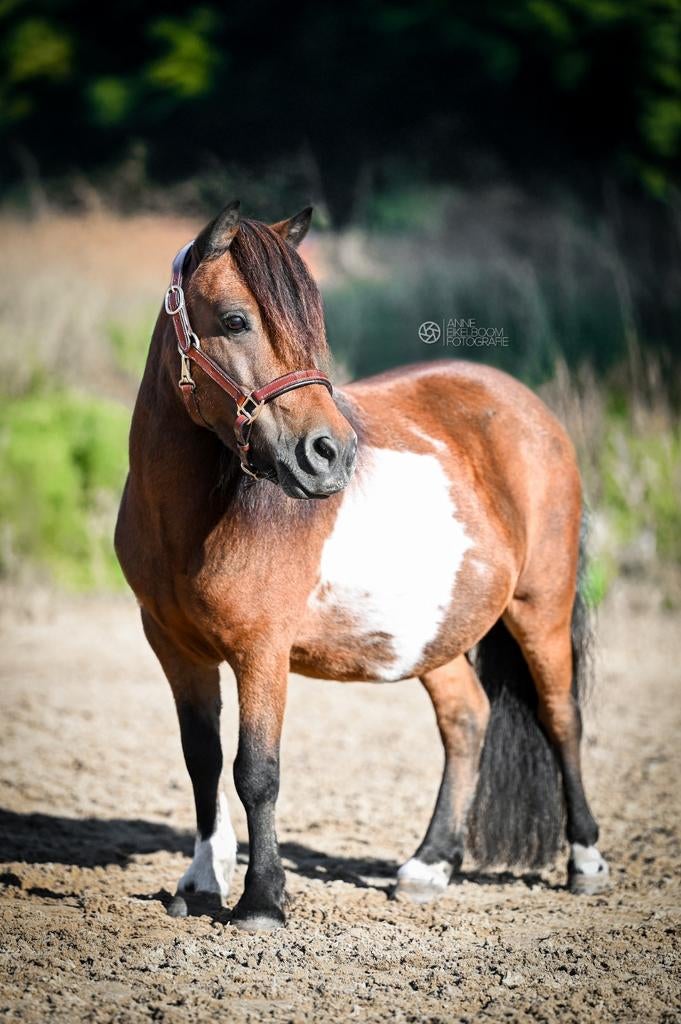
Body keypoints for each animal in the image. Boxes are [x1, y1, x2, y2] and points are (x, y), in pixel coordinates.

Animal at [115, 200, 609, 932]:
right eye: (233, 320)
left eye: (311, 323)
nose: (330, 454)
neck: (192, 519)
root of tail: (530, 411)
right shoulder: (173, 647)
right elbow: (202, 759)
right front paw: (202, 883)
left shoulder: (261, 651)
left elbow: (256, 770)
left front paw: (261, 902)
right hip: (432, 635)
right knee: (466, 718)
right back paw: (428, 866)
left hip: (539, 607)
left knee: (561, 719)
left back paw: (585, 864)